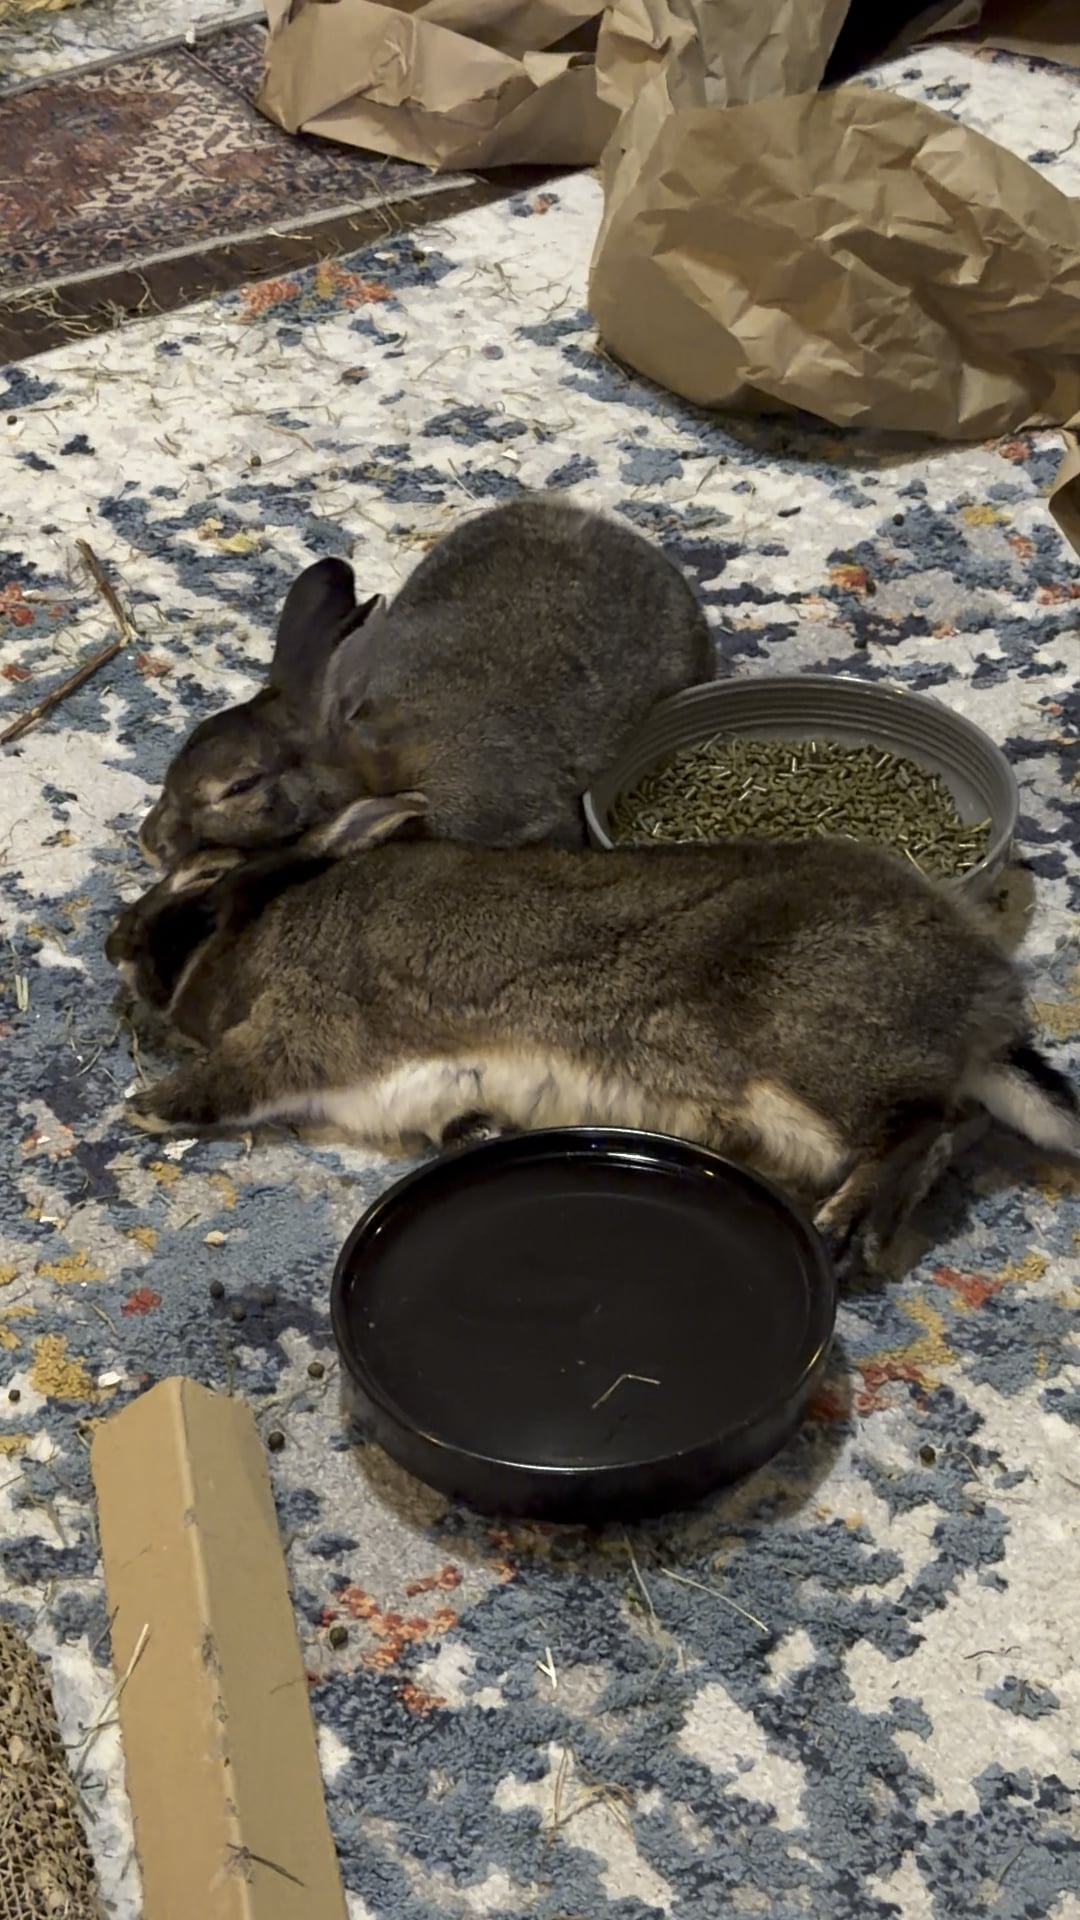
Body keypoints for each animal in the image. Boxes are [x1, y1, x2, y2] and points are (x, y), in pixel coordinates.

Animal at [107, 799, 1080, 1274]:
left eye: (200, 884)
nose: (115, 945)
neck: (269, 924)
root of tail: (984, 1000)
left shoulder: (305, 1025)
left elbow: (235, 1078)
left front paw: (144, 1109)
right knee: (959, 1125)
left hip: (813, 1065)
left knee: (923, 1125)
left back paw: (849, 1227)